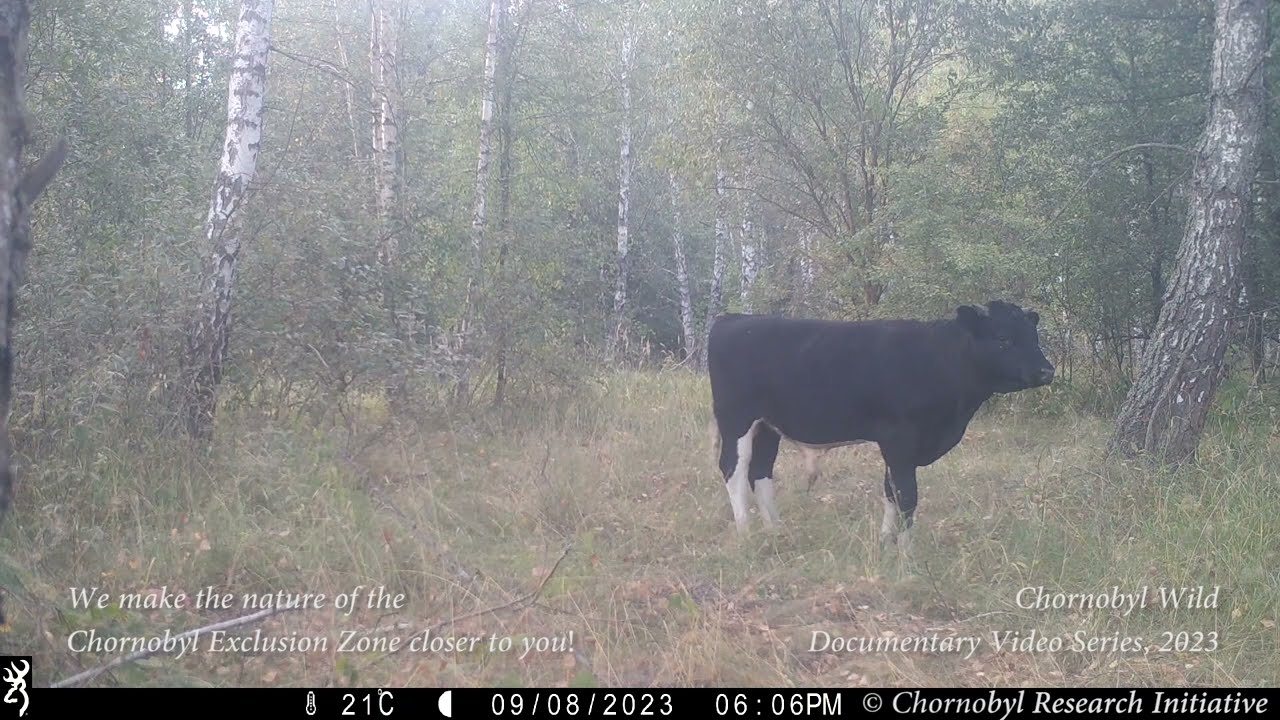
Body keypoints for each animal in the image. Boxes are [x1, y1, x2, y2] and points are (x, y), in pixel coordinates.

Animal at [706, 301, 1055, 547]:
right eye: (1003, 338)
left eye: (1033, 337)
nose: (1046, 371)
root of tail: (732, 318)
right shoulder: (899, 437)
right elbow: (906, 494)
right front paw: (907, 553)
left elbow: (891, 491)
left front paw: (888, 542)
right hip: (736, 418)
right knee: (734, 470)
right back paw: (746, 532)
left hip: (767, 426)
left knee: (760, 472)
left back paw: (776, 530)